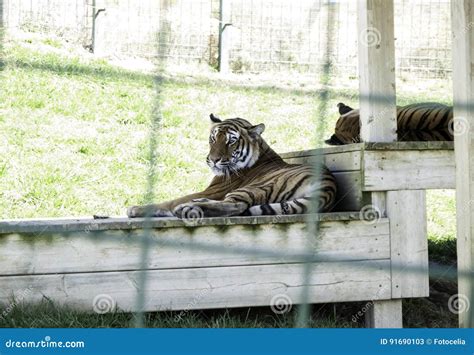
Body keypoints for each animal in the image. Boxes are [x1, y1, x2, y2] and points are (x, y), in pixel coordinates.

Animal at [127, 114, 336, 220]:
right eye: (213, 139)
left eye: (231, 142)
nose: (213, 160)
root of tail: (329, 188)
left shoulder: (214, 190)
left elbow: (169, 201)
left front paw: (135, 209)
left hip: (254, 187)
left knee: (235, 205)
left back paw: (188, 207)